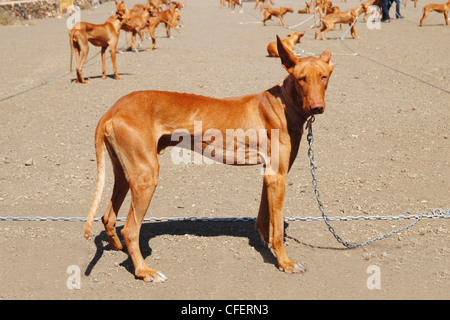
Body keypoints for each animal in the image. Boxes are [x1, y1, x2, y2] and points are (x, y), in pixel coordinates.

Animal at [83, 37, 334, 282]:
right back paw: (144, 271)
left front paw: (266, 242)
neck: (283, 103)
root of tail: (114, 109)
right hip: (146, 177)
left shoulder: (270, 175)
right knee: (130, 230)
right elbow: (279, 232)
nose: (317, 107)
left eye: (324, 77)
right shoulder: (278, 176)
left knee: (108, 217)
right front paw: (284, 263)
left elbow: (264, 217)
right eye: (301, 79)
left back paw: (119, 248)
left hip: (126, 175)